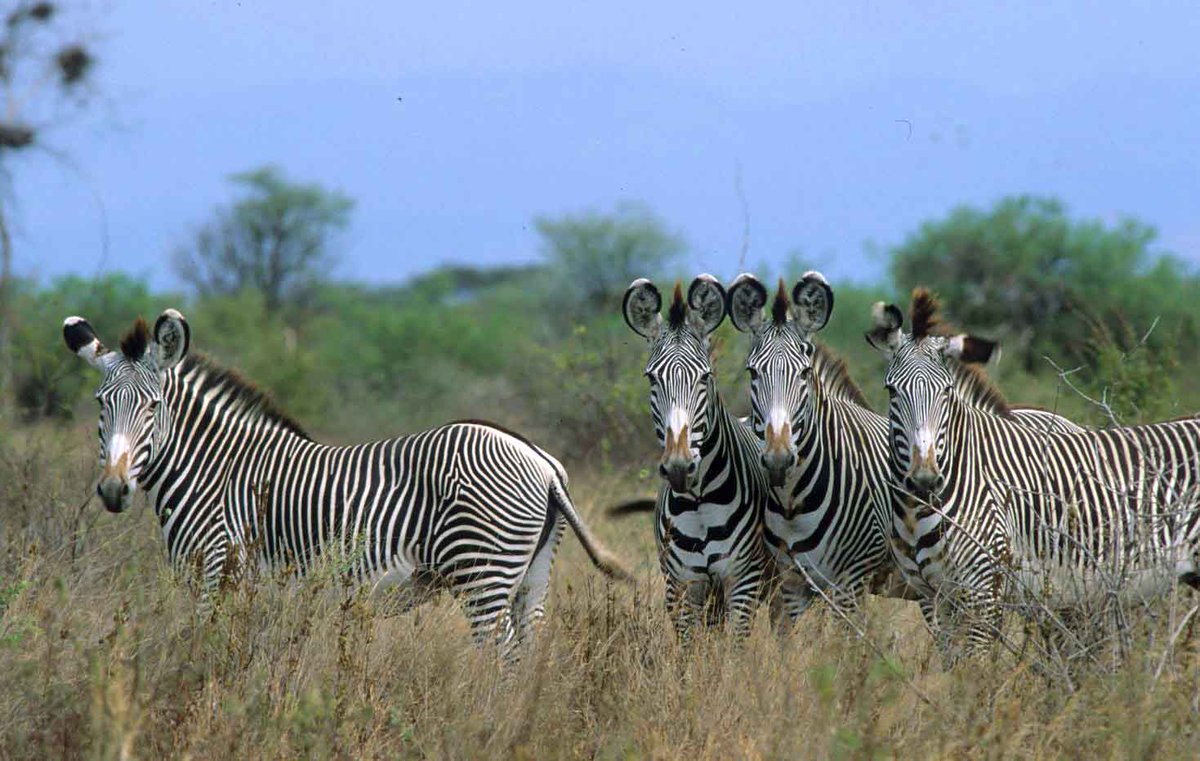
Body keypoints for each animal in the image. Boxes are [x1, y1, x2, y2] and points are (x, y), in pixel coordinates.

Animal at [63, 309, 630, 659]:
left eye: (153, 406)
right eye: (99, 404)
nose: (112, 491)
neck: (215, 470)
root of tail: (542, 460)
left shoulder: (216, 572)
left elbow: (209, 653)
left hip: (483, 575)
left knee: (502, 656)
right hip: (531, 575)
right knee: (526, 656)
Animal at [623, 274, 783, 639]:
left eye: (705, 376)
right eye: (651, 378)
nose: (680, 467)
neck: (698, 503)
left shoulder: (742, 580)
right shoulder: (681, 586)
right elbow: (690, 652)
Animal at [726, 273, 1087, 624]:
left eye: (803, 374)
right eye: (752, 373)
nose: (777, 459)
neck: (796, 499)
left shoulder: (852, 579)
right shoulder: (791, 582)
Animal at [865, 288, 1200, 656]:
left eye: (947, 392)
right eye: (891, 391)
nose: (923, 481)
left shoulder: (984, 591)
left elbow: (973, 669)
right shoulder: (934, 597)